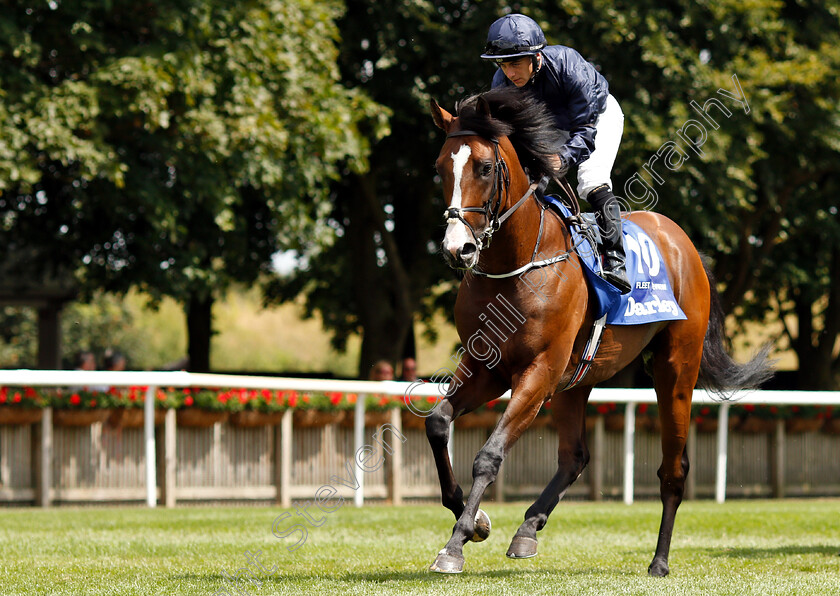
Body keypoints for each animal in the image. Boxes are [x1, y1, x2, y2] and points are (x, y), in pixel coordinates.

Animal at [426, 88, 768, 576]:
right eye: (440, 167)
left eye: (485, 168)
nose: (459, 249)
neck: (517, 265)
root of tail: (683, 242)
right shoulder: (486, 367)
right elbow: (438, 423)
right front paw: (477, 522)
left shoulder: (538, 372)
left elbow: (489, 454)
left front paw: (455, 544)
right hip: (577, 380)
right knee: (575, 456)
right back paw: (528, 530)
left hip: (675, 369)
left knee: (674, 468)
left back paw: (659, 561)